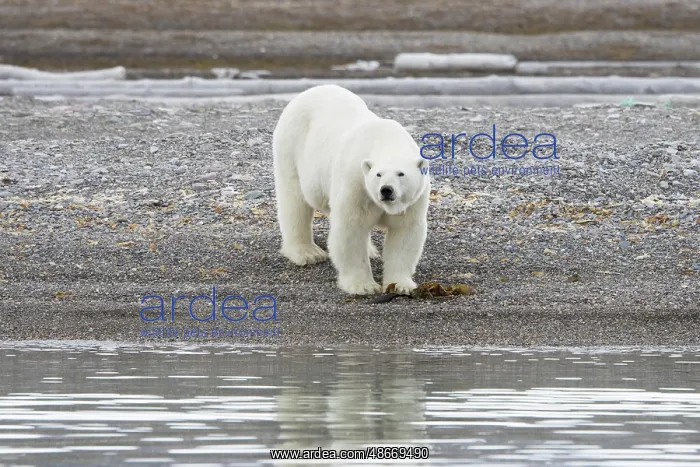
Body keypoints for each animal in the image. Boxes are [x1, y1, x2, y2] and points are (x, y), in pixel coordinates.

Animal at [272, 84, 431, 296]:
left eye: (401, 174)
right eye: (378, 174)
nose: (386, 190)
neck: (385, 140)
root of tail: (312, 90)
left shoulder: (414, 200)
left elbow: (405, 232)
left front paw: (400, 285)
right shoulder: (356, 184)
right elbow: (351, 229)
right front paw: (363, 286)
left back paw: (370, 250)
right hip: (292, 146)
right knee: (295, 201)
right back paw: (307, 252)